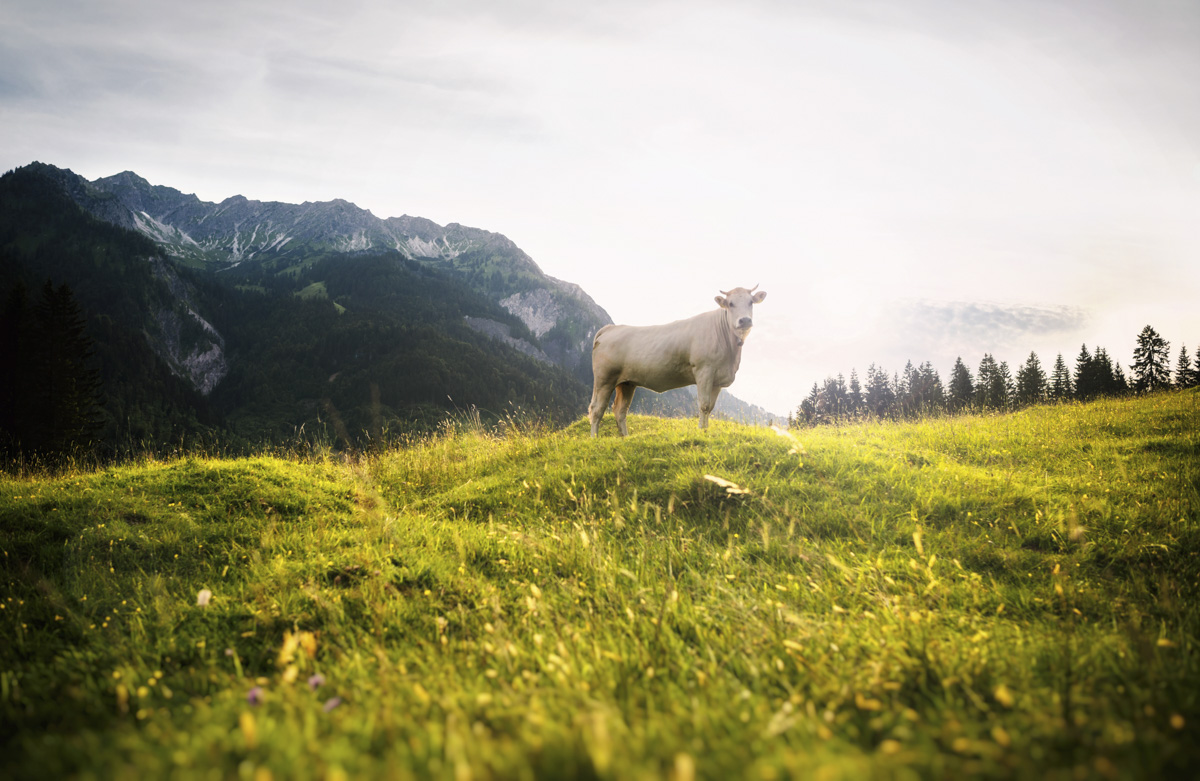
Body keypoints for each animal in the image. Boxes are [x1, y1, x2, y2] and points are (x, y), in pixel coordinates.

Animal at [588, 285, 767, 437]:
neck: (731, 355)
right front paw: (701, 432)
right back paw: (594, 438)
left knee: (620, 410)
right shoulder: (704, 370)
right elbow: (704, 405)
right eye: (730, 304)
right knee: (596, 408)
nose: (745, 320)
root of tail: (610, 328)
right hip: (604, 378)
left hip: (627, 383)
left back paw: (625, 437)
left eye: (751, 302)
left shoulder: (717, 379)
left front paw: (706, 431)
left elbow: (710, 408)